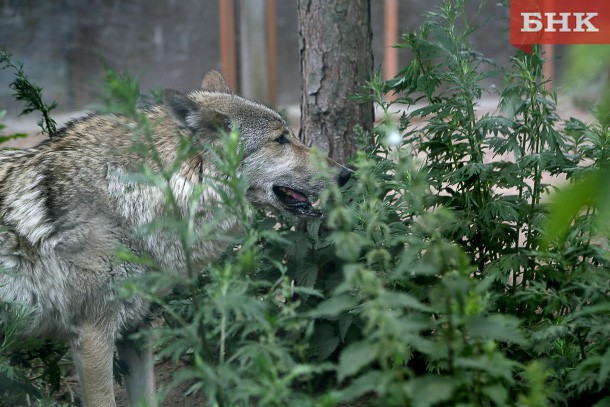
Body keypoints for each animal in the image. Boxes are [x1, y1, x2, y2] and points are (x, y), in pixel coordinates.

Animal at [0, 71, 350, 406]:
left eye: (290, 135)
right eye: (280, 139)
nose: (346, 174)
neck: (131, 198)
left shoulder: (137, 330)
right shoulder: (92, 336)